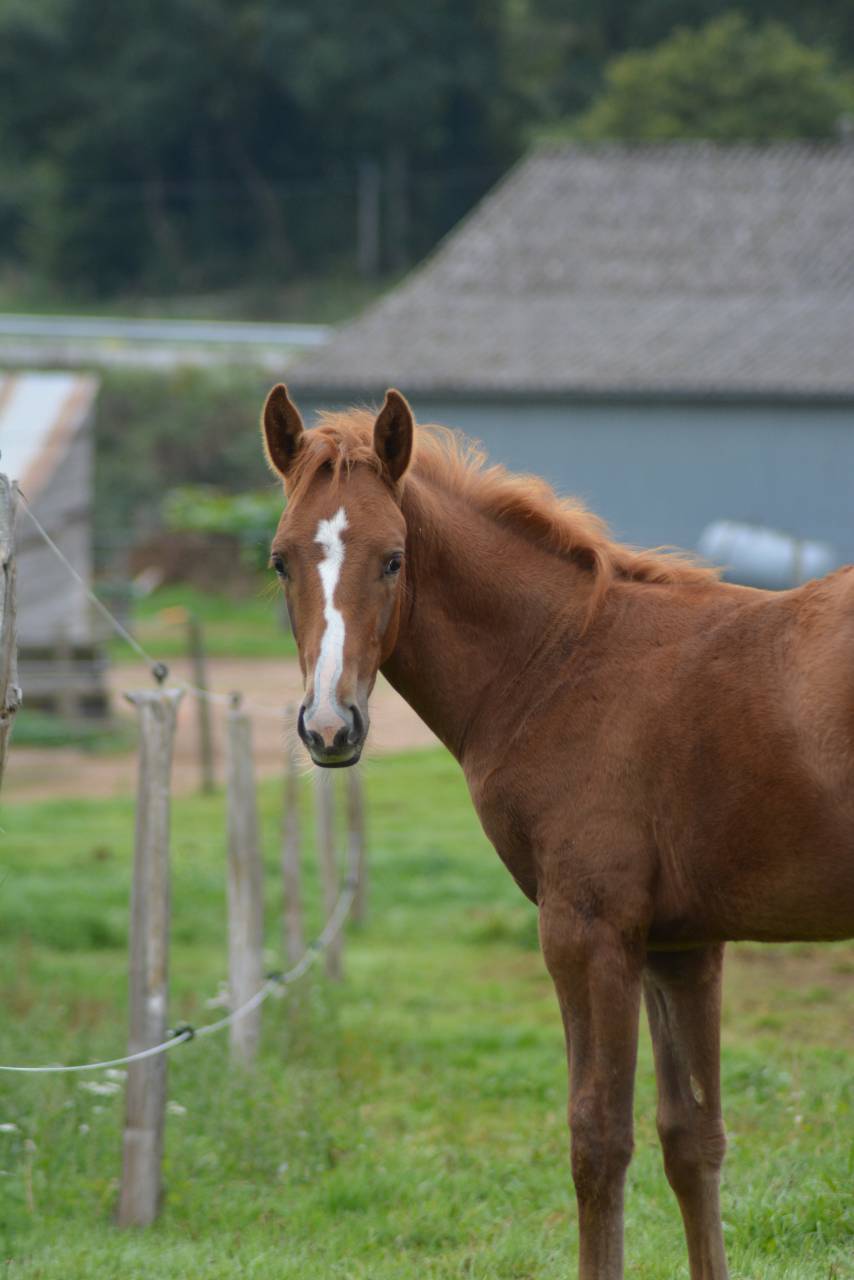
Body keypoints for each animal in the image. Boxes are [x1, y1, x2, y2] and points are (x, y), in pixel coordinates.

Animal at [260, 383, 854, 1280]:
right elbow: (693, 1140)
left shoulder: (587, 931)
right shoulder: (681, 944)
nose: (330, 727)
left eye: (394, 557)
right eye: (280, 559)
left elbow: (598, 1140)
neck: (557, 663)